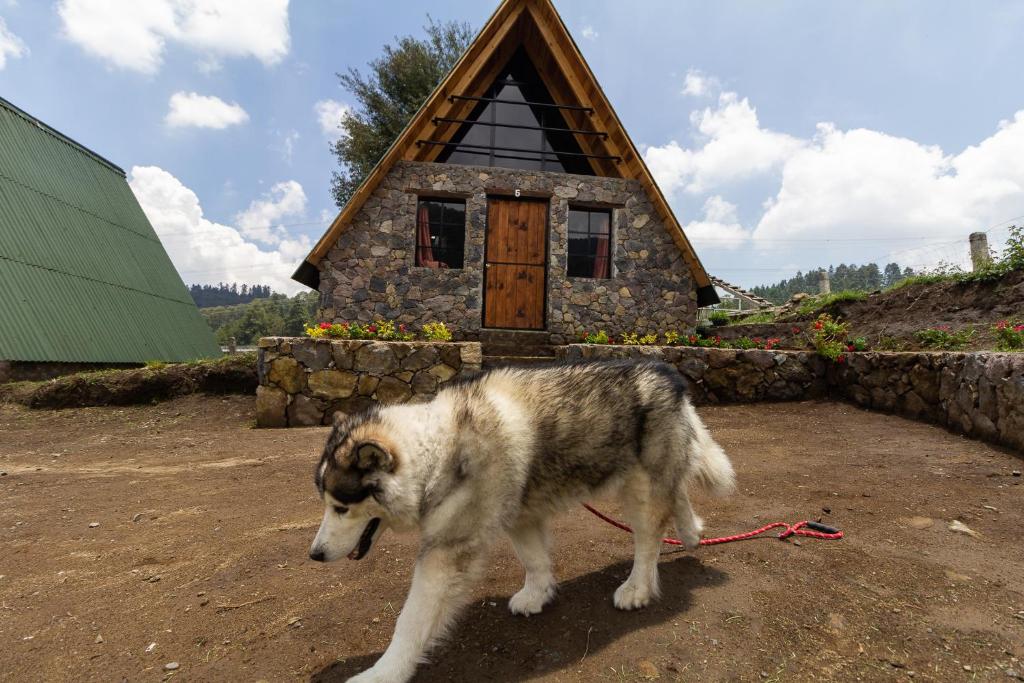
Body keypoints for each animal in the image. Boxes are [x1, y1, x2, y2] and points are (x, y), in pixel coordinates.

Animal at [307, 360, 733, 679]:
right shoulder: (522, 516)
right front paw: (538, 594)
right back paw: (691, 533)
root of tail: (669, 374)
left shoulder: (446, 552)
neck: (438, 452)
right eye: (324, 502)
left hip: (639, 490)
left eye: (341, 506)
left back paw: (638, 588)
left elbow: (410, 622)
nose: (315, 555)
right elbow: (535, 560)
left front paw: (382, 673)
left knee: (649, 538)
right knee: (677, 495)